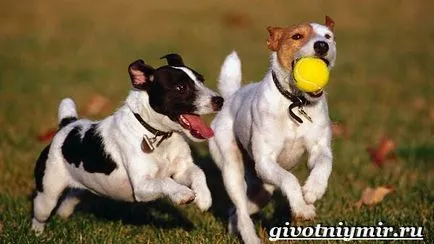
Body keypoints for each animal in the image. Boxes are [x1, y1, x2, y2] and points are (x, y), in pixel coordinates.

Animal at [31, 53, 224, 234]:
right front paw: (182, 193)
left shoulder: (181, 170)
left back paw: (62, 215)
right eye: (181, 87)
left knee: (68, 200)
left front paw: (204, 198)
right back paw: (37, 233)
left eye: (201, 80)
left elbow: (198, 172)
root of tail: (67, 124)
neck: (158, 135)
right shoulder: (141, 186)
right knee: (40, 214)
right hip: (47, 194)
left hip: (80, 187)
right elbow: (165, 181)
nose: (219, 100)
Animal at [209, 16, 338, 243]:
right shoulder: (265, 161)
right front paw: (302, 208)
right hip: (232, 168)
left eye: (328, 36)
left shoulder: (319, 149)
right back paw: (250, 237)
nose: (322, 45)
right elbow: (290, 180)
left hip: (262, 186)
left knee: (243, 208)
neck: (295, 103)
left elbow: (323, 164)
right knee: (241, 208)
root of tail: (232, 96)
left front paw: (313, 191)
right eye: (297, 36)